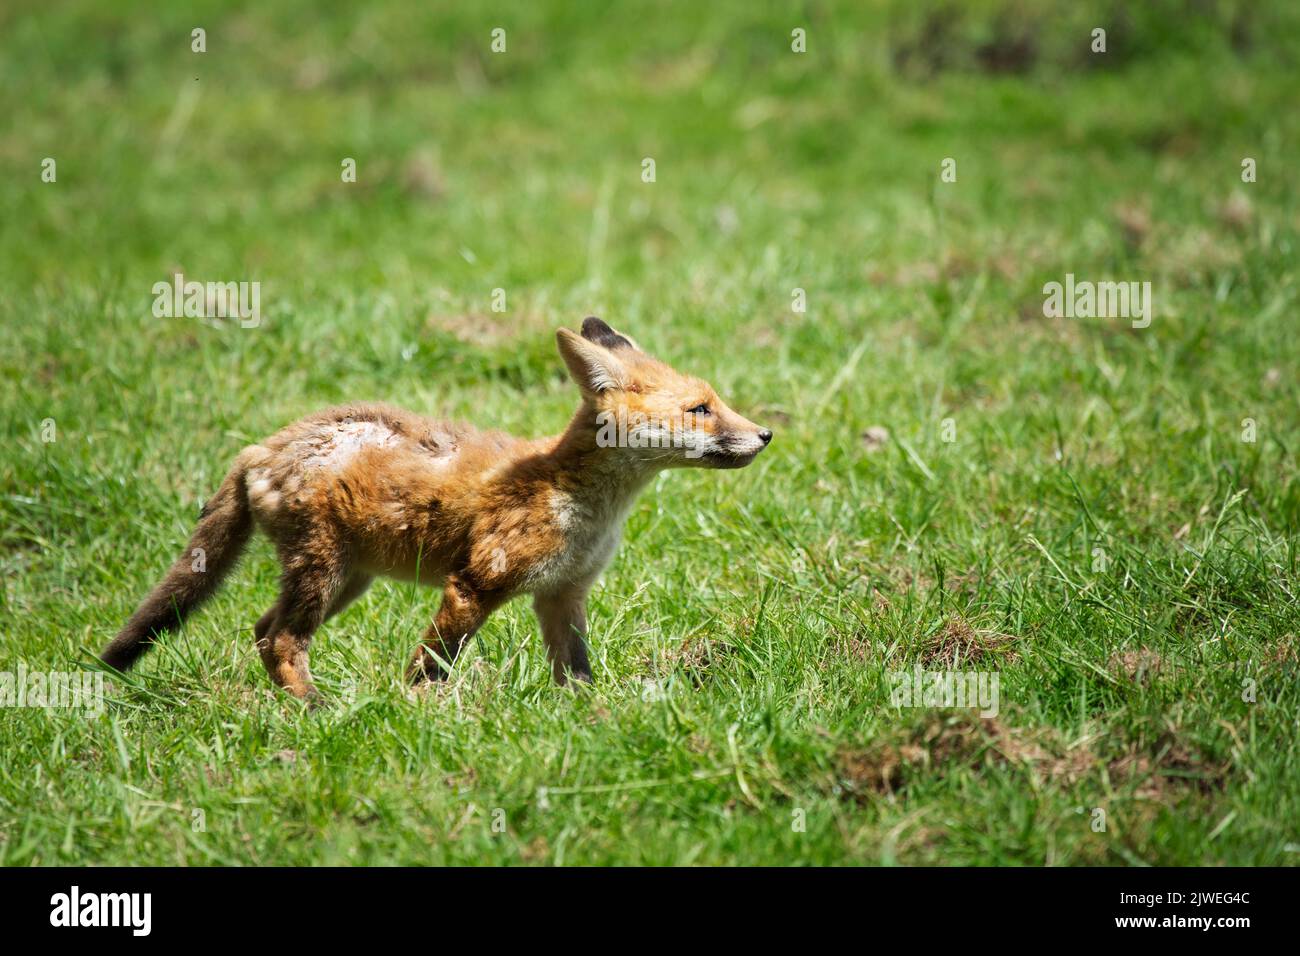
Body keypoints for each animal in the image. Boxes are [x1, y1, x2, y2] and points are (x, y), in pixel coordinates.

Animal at [104, 317, 769, 697]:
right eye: (701, 409)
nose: (765, 435)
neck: (578, 500)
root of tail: (263, 445)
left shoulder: (563, 594)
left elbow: (577, 675)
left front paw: (591, 721)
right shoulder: (474, 584)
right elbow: (431, 666)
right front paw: (414, 712)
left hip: (348, 581)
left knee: (262, 631)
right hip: (323, 574)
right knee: (280, 642)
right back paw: (316, 712)